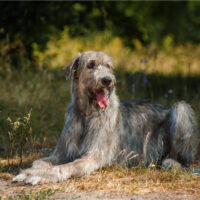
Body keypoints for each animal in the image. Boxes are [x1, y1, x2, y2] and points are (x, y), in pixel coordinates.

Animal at [13, 50, 199, 184]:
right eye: (90, 64)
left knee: (184, 159)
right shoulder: (63, 151)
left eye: (108, 66)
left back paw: (171, 162)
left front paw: (40, 175)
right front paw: (32, 170)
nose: (107, 80)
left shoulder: (94, 156)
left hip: (181, 109)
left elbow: (67, 166)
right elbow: (41, 161)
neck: (87, 114)